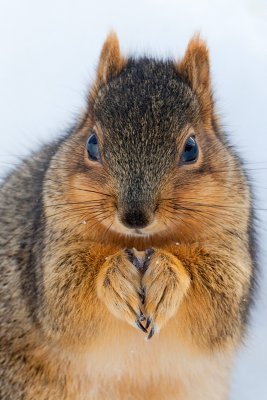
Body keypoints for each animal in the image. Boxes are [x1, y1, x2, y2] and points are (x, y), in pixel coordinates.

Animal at [0, 32, 258, 398]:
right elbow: (64, 294)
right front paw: (114, 274)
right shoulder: (50, 248)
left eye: (191, 148)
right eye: (92, 144)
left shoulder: (230, 240)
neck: (143, 241)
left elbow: (219, 297)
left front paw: (168, 272)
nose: (134, 216)